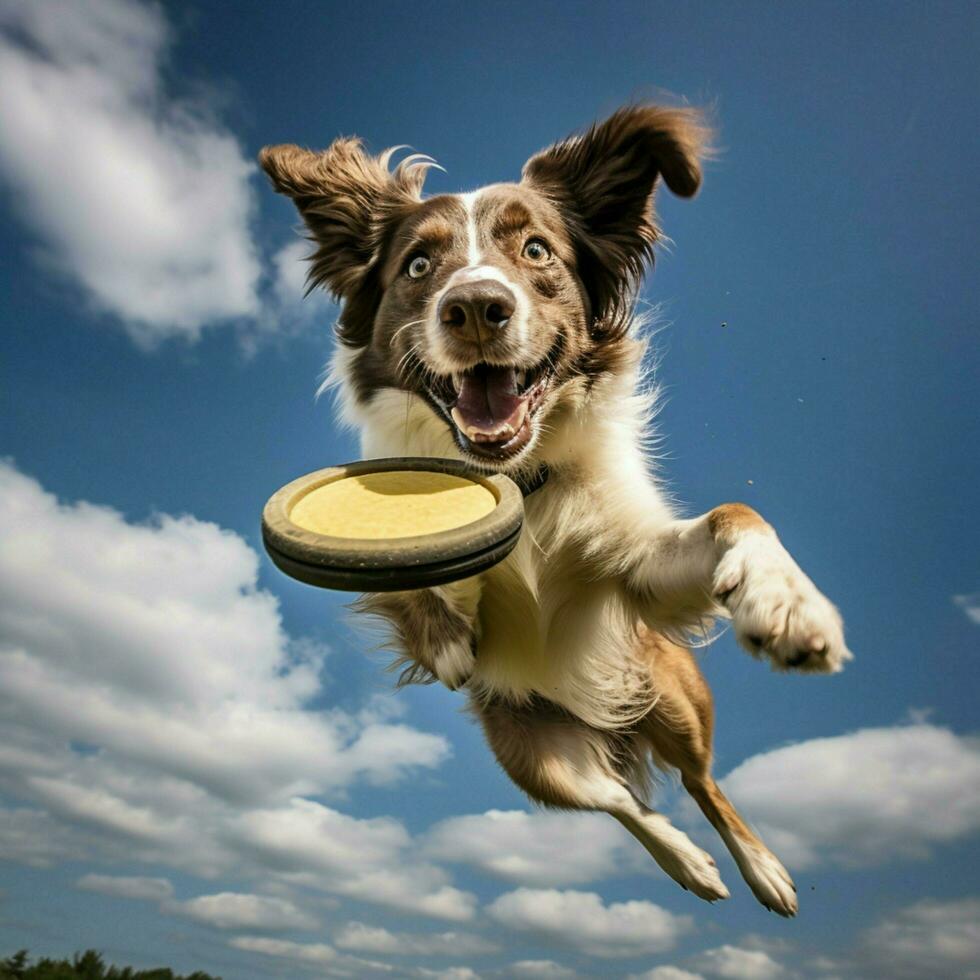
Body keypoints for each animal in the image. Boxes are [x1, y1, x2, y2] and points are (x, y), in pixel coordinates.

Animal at [258, 107, 848, 920]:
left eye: (536, 249)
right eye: (417, 265)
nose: (476, 308)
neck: (521, 480)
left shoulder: (639, 568)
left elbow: (739, 512)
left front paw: (787, 602)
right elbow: (419, 591)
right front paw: (447, 613)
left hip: (669, 690)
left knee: (699, 780)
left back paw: (760, 871)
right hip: (531, 756)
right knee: (621, 800)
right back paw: (689, 863)